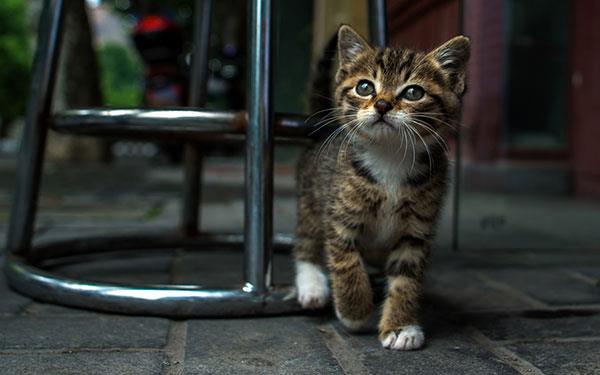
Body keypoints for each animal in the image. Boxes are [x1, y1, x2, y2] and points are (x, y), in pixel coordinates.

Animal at [292, 25, 472, 352]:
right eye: (365, 87)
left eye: (413, 92)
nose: (382, 105)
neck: (390, 157)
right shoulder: (340, 217)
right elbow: (346, 263)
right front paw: (354, 310)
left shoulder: (416, 231)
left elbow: (406, 279)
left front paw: (400, 326)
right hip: (311, 198)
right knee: (305, 241)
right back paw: (312, 284)